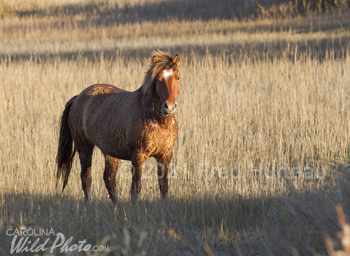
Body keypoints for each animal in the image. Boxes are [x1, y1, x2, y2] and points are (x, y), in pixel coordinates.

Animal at [55, 51, 180, 204]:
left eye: (178, 77)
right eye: (158, 79)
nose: (169, 107)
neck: (157, 121)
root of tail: (78, 97)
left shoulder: (165, 156)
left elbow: (164, 187)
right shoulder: (138, 157)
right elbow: (136, 188)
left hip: (110, 153)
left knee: (109, 179)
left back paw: (116, 205)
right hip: (84, 147)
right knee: (86, 178)